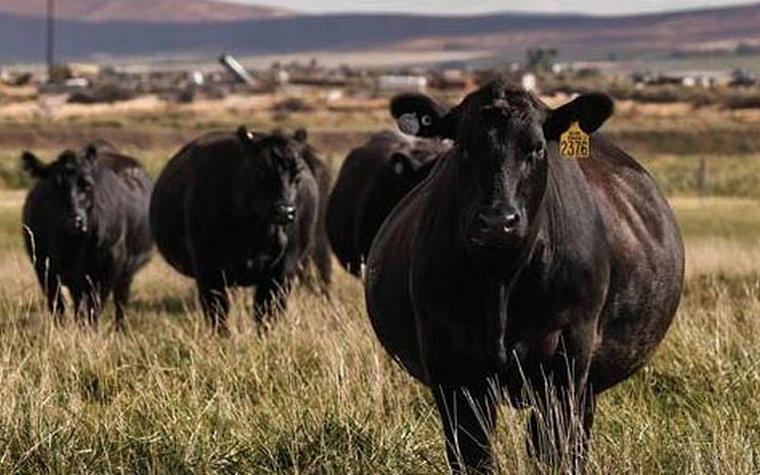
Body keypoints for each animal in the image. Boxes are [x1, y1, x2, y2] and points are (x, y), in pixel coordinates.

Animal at [21, 144, 153, 330]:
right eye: (54, 186)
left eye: (88, 186)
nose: (75, 221)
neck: (74, 246)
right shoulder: (43, 266)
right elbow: (57, 306)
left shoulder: (109, 266)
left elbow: (95, 306)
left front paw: (91, 331)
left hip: (127, 269)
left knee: (120, 300)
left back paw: (120, 329)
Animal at [149, 126, 331, 334]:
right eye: (259, 171)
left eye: (298, 173)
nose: (285, 210)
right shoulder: (207, 269)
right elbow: (217, 312)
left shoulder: (284, 270)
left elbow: (267, 312)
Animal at [365, 79, 684, 473]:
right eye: (463, 148)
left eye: (536, 148)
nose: (498, 221)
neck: (501, 281)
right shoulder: (450, 364)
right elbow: (471, 454)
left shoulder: (567, 358)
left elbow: (555, 450)